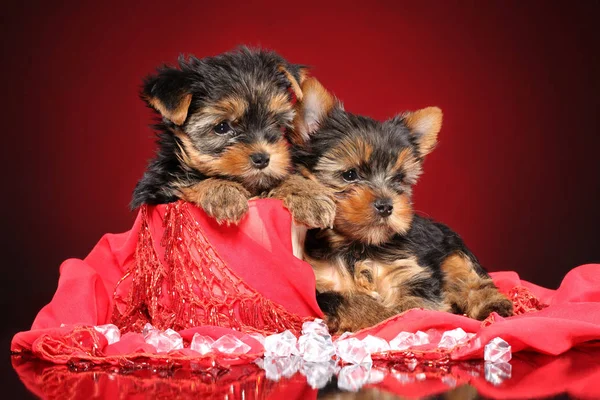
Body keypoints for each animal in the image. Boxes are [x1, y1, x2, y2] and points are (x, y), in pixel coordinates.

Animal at [131, 46, 336, 228]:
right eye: (222, 127)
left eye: (276, 122)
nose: (262, 159)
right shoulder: (158, 186)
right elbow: (187, 179)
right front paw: (225, 194)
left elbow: (277, 177)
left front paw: (308, 194)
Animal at [292, 77, 512, 332]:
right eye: (349, 175)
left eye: (398, 178)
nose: (387, 206)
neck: (358, 245)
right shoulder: (321, 284)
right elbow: (348, 300)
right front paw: (379, 314)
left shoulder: (410, 271)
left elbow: (416, 306)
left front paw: (400, 315)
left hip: (452, 248)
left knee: (469, 278)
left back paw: (492, 305)